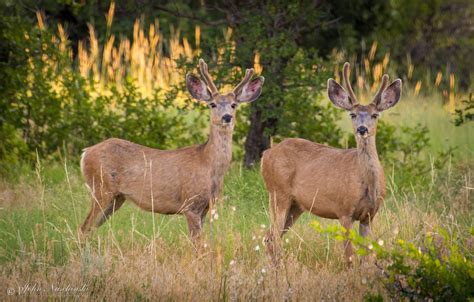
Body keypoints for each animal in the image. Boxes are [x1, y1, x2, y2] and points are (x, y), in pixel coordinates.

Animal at [79, 59, 264, 243]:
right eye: (213, 104)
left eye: (234, 105)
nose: (227, 117)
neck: (208, 164)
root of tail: (85, 153)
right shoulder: (190, 204)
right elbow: (197, 243)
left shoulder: (205, 207)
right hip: (101, 188)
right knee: (83, 227)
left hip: (116, 198)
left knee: (89, 228)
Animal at [262, 62, 402, 264]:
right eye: (352, 114)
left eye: (375, 115)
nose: (362, 129)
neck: (366, 183)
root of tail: (265, 154)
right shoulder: (344, 211)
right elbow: (349, 255)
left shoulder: (369, 215)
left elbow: (365, 254)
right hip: (278, 193)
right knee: (273, 236)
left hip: (296, 205)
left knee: (270, 236)